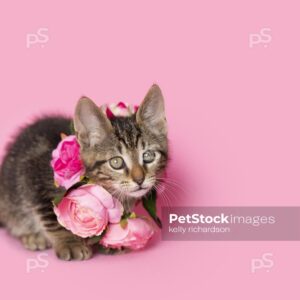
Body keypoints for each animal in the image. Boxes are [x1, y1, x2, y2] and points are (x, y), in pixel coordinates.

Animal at [0, 84, 169, 260]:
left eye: (148, 156)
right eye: (116, 162)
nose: (139, 179)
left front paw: (108, 242)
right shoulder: (37, 181)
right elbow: (53, 218)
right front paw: (70, 243)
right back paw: (32, 237)